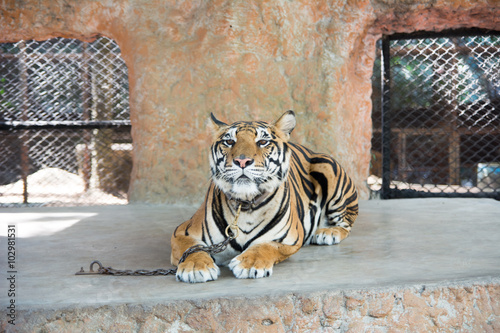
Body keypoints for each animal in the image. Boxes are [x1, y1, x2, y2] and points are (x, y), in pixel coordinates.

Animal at [170, 110, 358, 282]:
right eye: (229, 141)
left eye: (262, 142)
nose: (242, 161)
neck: (245, 204)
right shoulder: (183, 232)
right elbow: (193, 249)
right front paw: (195, 267)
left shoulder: (290, 239)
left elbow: (266, 246)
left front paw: (249, 263)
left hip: (326, 166)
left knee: (346, 222)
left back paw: (327, 232)